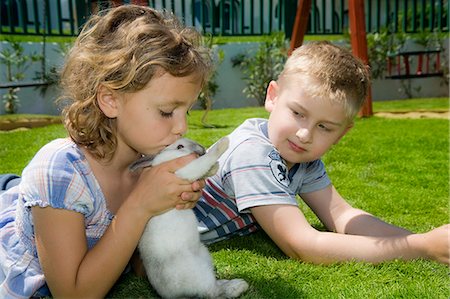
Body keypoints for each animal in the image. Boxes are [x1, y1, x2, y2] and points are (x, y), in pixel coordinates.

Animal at [129, 138, 250, 299]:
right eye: (180, 146)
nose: (202, 149)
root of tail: (172, 295)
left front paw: (214, 167)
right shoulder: (183, 172)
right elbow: (202, 163)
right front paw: (223, 143)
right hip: (198, 274)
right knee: (211, 292)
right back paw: (239, 286)